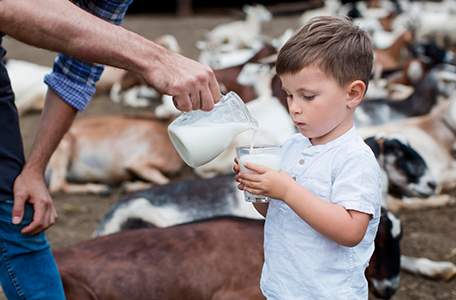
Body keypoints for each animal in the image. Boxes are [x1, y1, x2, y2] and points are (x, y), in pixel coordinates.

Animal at [45, 114, 182, 195]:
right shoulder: (137, 163)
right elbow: (166, 182)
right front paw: (126, 186)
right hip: (63, 153)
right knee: (58, 187)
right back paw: (101, 189)